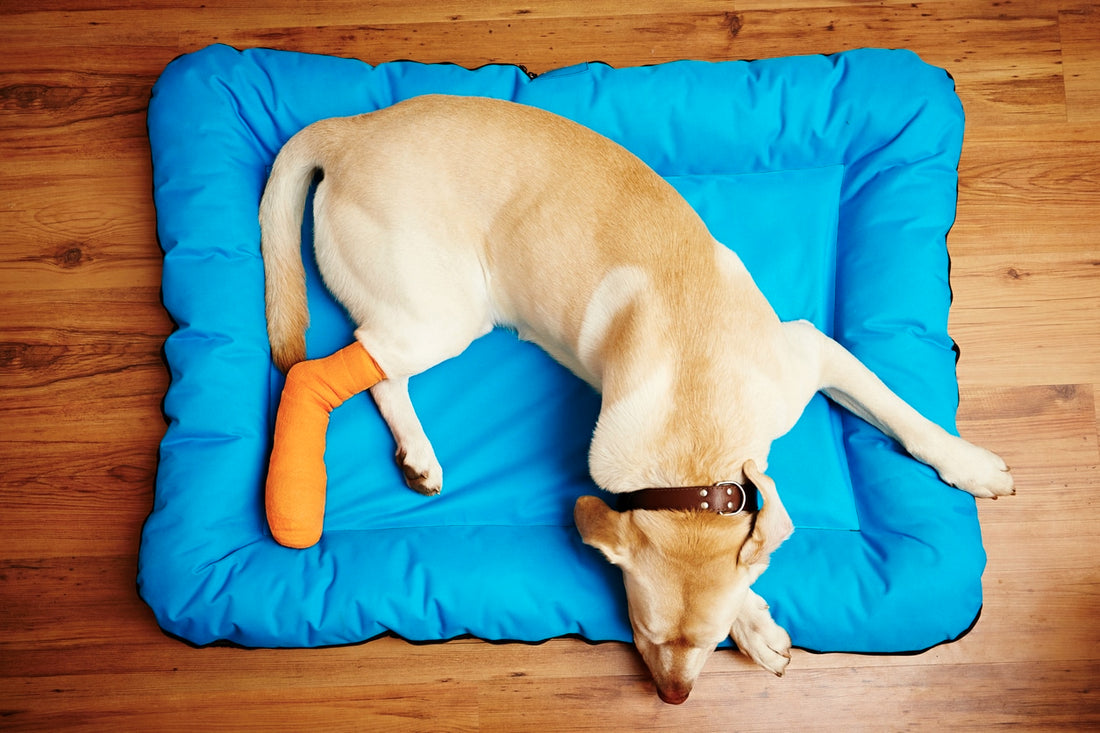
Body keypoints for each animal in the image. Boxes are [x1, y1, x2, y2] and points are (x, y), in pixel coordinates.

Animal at [257, 93, 1012, 704]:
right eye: (643, 630)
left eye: (707, 642)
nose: (673, 697)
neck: (696, 444)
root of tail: (350, 129)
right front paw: (758, 620)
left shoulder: (813, 353)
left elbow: (903, 415)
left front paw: (967, 463)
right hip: (442, 311)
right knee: (346, 365)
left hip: (435, 316)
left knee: (379, 367)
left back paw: (416, 455)